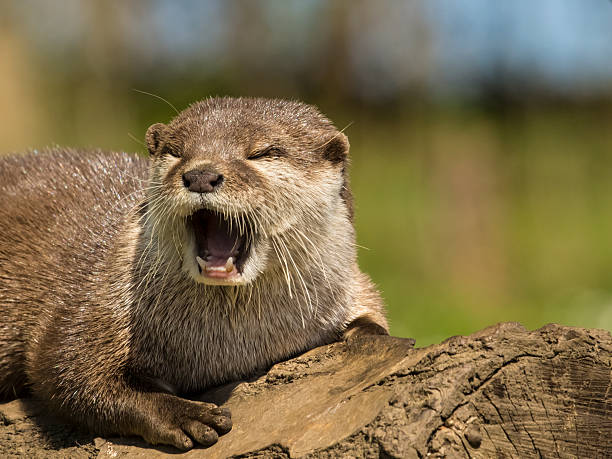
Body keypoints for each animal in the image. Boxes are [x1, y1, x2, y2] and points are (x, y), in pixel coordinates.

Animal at [0, 95, 388, 452]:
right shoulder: (95, 300)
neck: (232, 348)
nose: (201, 174)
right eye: (176, 152)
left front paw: (365, 333)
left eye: (264, 153)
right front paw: (182, 414)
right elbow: (68, 372)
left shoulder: (354, 284)